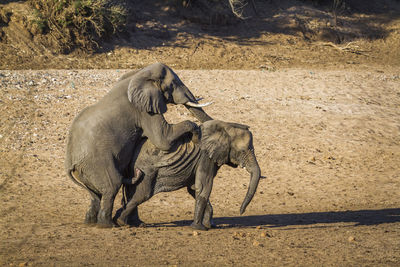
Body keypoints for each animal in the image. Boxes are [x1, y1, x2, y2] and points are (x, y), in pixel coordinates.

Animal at [65, 62, 212, 228]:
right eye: (173, 84)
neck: (140, 74)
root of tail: (69, 161)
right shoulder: (144, 111)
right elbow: (163, 139)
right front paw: (195, 133)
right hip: (97, 162)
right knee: (112, 186)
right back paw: (109, 225)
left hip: (85, 169)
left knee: (96, 194)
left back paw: (94, 223)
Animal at [115, 120, 262, 231]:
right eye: (242, 151)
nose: (241, 212)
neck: (225, 126)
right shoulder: (205, 157)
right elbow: (204, 186)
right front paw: (199, 228)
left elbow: (194, 188)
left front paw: (210, 225)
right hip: (145, 170)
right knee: (142, 194)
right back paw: (122, 222)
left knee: (132, 193)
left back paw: (129, 222)